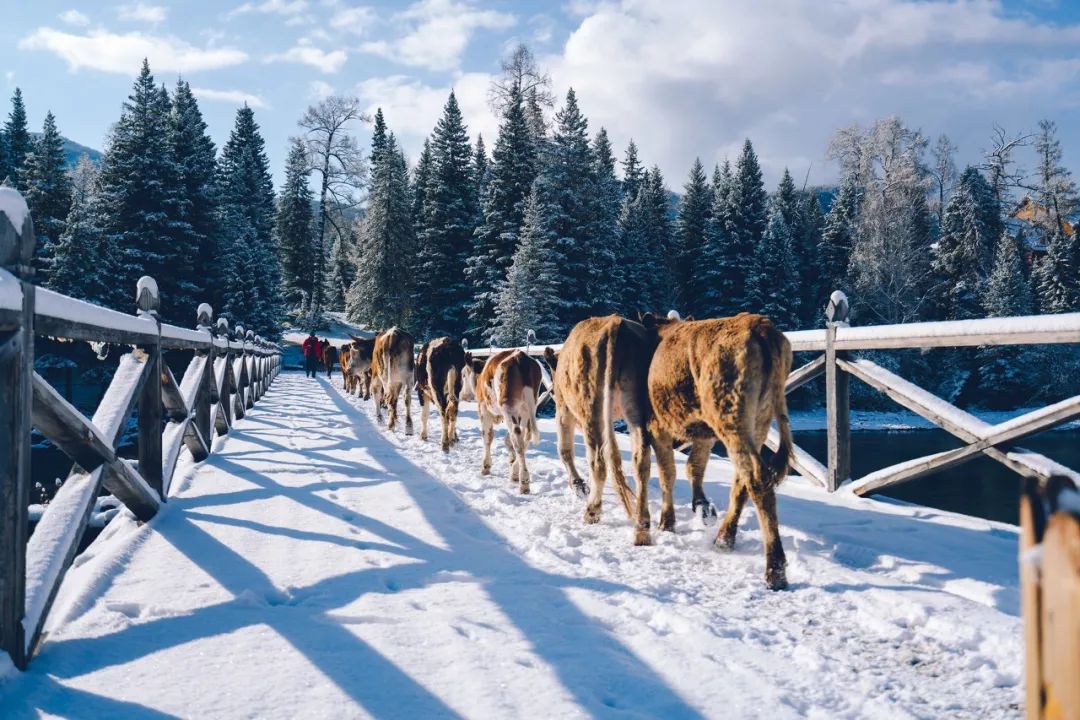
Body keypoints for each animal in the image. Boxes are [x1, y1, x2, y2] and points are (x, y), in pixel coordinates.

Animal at [479, 349, 544, 496]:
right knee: (526, 436)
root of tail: (520, 357)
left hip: (508, 407)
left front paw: (486, 466)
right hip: (527, 409)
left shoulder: (484, 409)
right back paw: (515, 472)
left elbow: (487, 437)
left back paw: (524, 483)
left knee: (518, 441)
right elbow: (506, 440)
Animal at [544, 315, 652, 528]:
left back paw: (592, 510)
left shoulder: (563, 409)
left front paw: (578, 485)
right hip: (636, 410)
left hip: (591, 410)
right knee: (641, 459)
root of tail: (615, 325)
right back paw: (642, 518)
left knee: (598, 461)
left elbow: (564, 450)